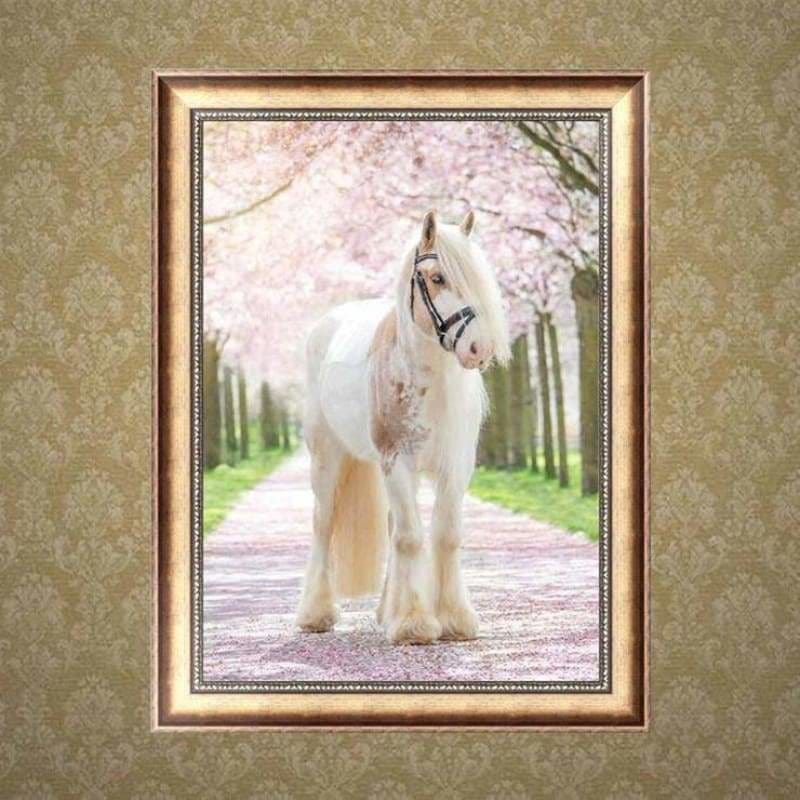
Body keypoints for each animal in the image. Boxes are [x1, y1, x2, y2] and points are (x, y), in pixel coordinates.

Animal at [295, 209, 510, 645]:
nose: (479, 349)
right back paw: (316, 614)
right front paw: (414, 624)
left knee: (394, 526)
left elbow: (445, 535)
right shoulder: (397, 460)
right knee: (324, 523)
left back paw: (384, 612)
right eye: (438, 278)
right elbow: (411, 538)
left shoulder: (455, 467)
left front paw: (454, 620)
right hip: (326, 456)